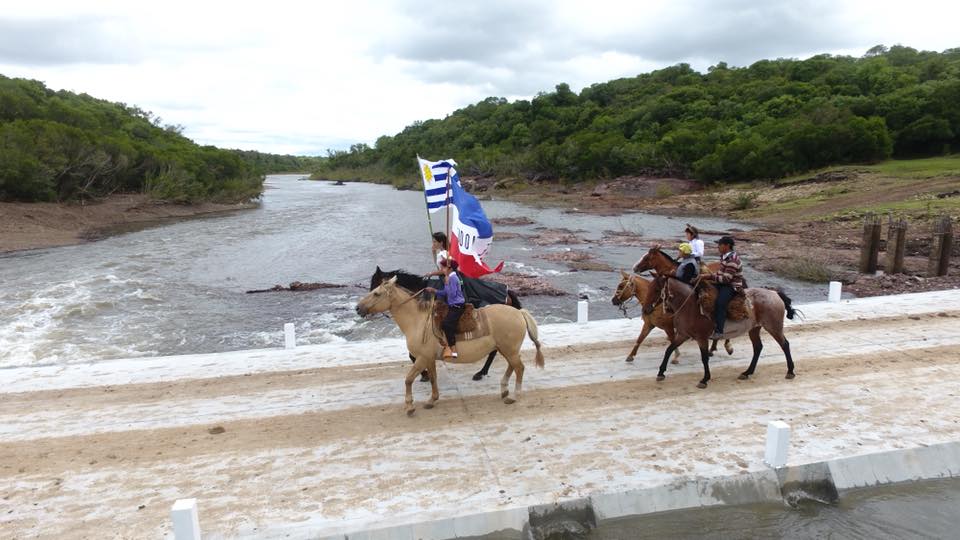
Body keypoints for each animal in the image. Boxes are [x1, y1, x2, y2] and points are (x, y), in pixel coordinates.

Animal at [368, 266, 520, 380]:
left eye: (375, 286)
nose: (365, 310)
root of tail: (507, 294)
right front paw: (425, 373)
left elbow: (413, 355)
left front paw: (424, 374)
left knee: (493, 351)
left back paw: (481, 373)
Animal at [648, 274, 800, 388]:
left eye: (656, 289)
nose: (647, 308)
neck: (690, 306)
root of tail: (774, 293)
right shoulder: (682, 335)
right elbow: (669, 350)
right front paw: (660, 373)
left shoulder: (701, 338)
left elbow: (704, 358)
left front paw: (704, 379)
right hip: (754, 329)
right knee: (758, 347)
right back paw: (747, 372)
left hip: (773, 326)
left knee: (785, 344)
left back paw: (790, 371)